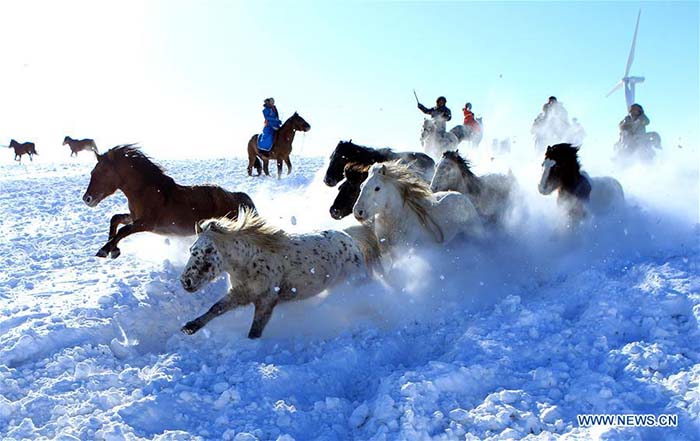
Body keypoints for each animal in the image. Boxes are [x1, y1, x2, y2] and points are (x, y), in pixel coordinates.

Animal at [82, 144, 258, 258]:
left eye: (103, 171)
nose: (87, 199)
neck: (145, 191)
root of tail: (235, 197)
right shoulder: (135, 217)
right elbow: (115, 219)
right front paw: (114, 250)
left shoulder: (146, 223)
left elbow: (123, 230)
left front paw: (105, 250)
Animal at [178, 209, 380, 336]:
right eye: (191, 249)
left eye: (209, 250)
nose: (185, 282)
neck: (249, 262)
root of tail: (350, 238)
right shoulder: (240, 294)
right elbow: (216, 308)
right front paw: (190, 327)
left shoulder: (267, 300)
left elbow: (255, 330)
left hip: (355, 281)